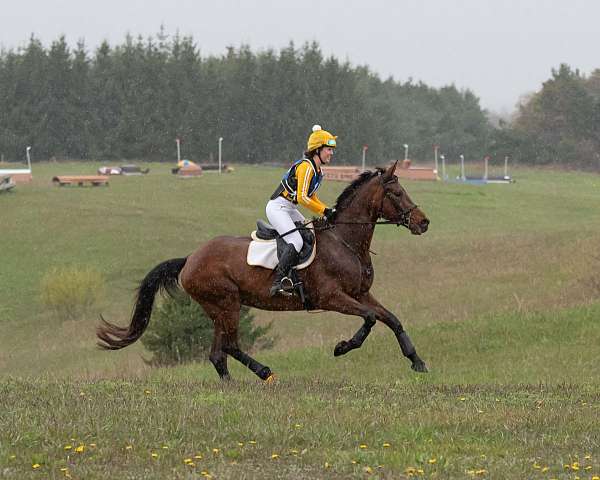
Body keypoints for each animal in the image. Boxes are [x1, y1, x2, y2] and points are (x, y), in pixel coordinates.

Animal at [97, 161, 432, 378]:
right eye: (397, 193)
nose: (424, 222)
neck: (345, 241)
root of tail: (190, 258)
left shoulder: (360, 293)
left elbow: (392, 319)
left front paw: (418, 362)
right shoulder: (331, 297)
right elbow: (371, 319)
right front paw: (341, 347)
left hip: (220, 308)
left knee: (219, 353)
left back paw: (237, 384)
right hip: (226, 303)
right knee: (229, 346)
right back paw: (264, 372)